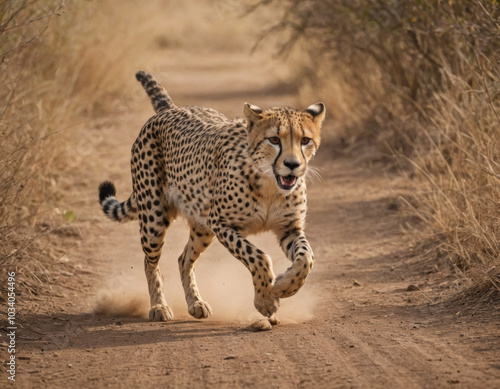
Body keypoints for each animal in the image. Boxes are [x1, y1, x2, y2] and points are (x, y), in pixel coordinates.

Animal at [99, 70, 326, 324]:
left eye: (305, 140)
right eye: (274, 140)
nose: (292, 165)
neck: (269, 185)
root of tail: (171, 109)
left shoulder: (289, 228)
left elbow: (306, 258)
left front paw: (285, 286)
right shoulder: (221, 223)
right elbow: (258, 256)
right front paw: (266, 299)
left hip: (202, 226)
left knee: (184, 259)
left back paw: (195, 303)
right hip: (154, 217)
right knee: (150, 262)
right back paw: (159, 306)